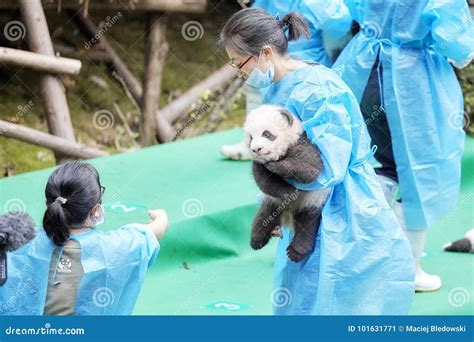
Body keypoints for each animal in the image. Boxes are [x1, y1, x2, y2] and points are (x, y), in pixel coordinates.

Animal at [244, 105, 330, 262]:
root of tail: (287, 216)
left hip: (311, 201)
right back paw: (257, 240)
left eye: (266, 134)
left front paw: (276, 166)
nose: (256, 149)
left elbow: (309, 169)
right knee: (263, 217)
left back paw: (296, 251)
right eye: (251, 138)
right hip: (272, 204)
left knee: (307, 224)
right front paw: (288, 193)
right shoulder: (258, 164)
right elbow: (265, 181)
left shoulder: (301, 144)